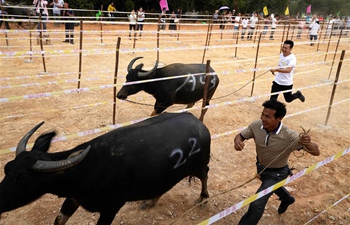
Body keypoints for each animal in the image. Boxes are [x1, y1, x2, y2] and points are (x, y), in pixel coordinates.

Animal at [0, 112, 211, 225]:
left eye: (22, 178)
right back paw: (151, 200)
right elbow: (59, 219)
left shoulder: (111, 208)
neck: (88, 169)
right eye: (6, 168)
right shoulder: (73, 198)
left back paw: (203, 198)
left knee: (205, 175)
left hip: (199, 165)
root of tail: (197, 121)